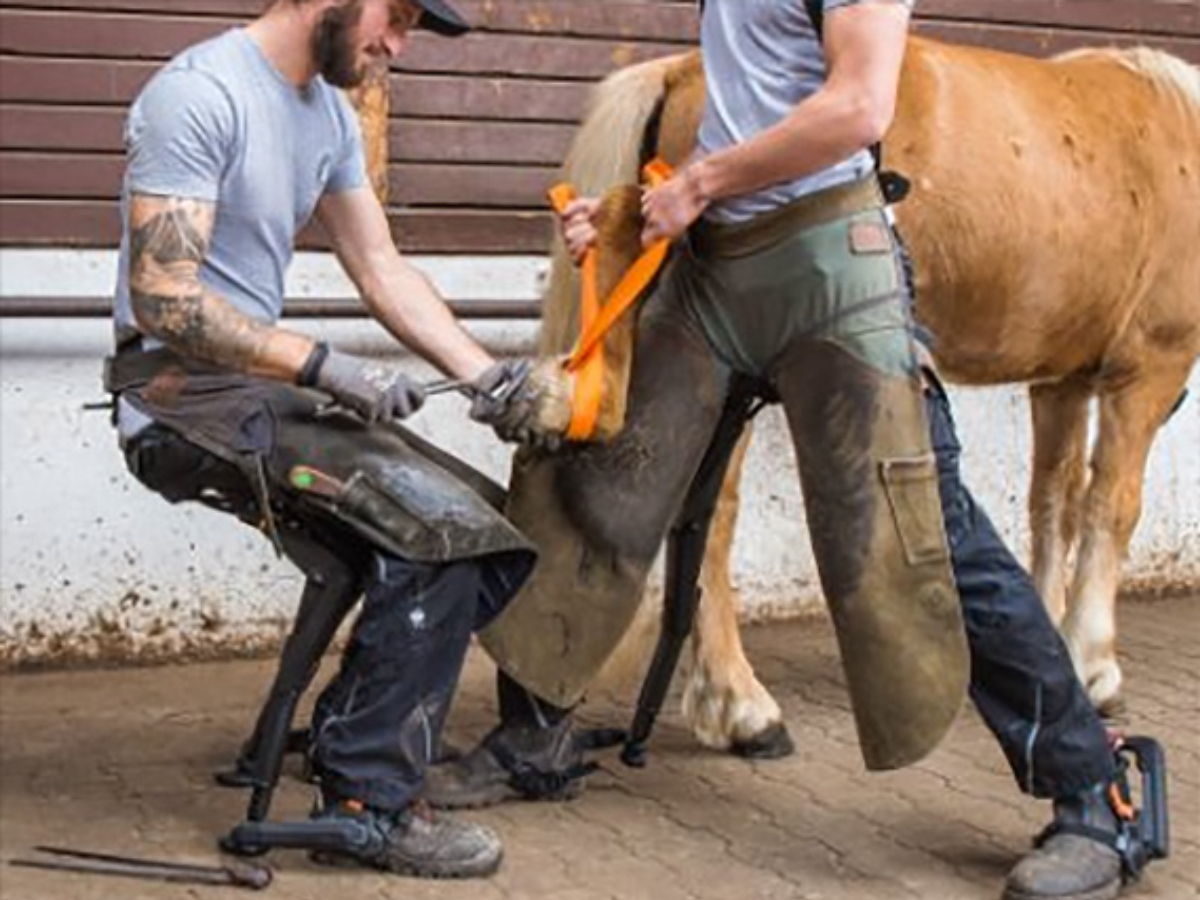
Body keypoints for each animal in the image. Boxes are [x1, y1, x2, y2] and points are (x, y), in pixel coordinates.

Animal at [535, 37, 1200, 753]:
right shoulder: (1149, 369)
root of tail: (681, 70)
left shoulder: (1062, 381)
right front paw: (1093, 664)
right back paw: (740, 706)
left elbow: (1055, 502)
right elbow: (1113, 508)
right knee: (710, 518)